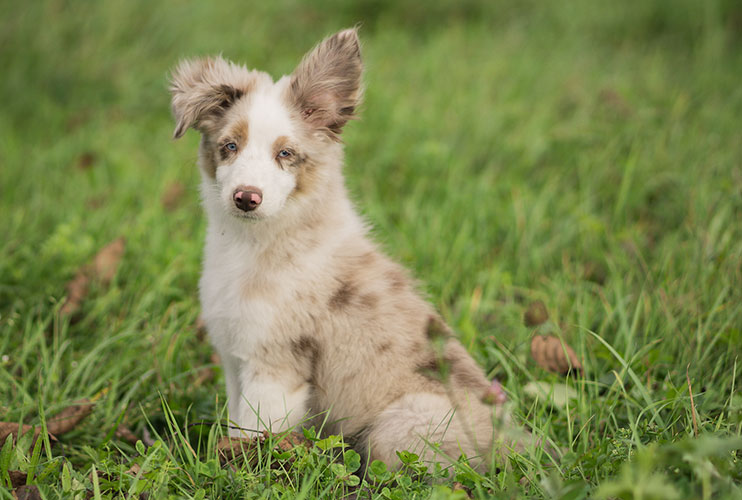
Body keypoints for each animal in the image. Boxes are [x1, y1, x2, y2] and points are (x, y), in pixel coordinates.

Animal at [171, 28, 520, 472]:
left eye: (285, 153)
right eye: (230, 146)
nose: (246, 198)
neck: (250, 244)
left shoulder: (275, 366)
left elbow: (257, 437)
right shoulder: (236, 358)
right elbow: (237, 425)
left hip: (398, 426)